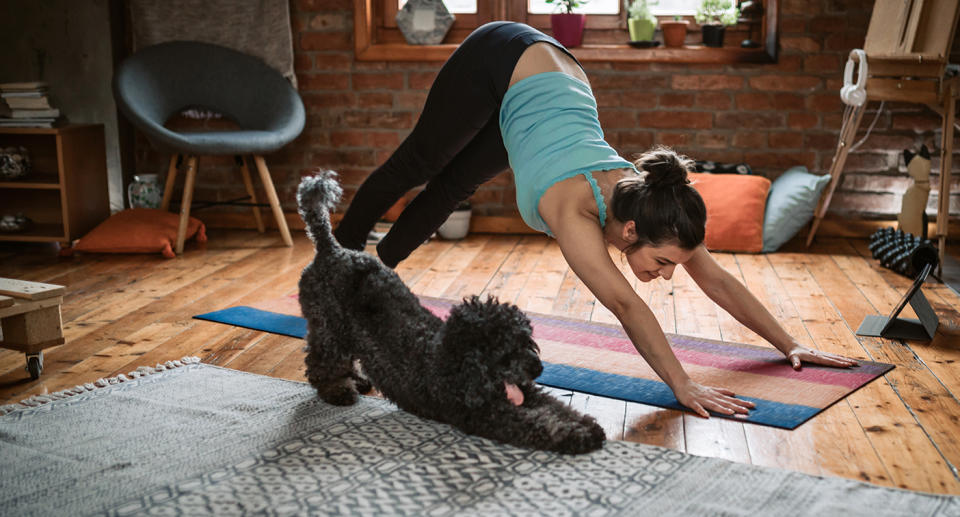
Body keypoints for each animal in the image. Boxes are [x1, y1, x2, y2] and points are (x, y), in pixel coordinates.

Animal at [296, 170, 604, 452]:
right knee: (320, 364)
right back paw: (338, 390)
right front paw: (577, 436)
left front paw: (586, 423)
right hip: (328, 326)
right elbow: (537, 424)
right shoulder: (488, 415)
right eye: (505, 350)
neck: (455, 361)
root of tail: (330, 249)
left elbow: (556, 406)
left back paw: (357, 380)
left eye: (527, 341)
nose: (537, 368)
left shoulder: (526, 392)